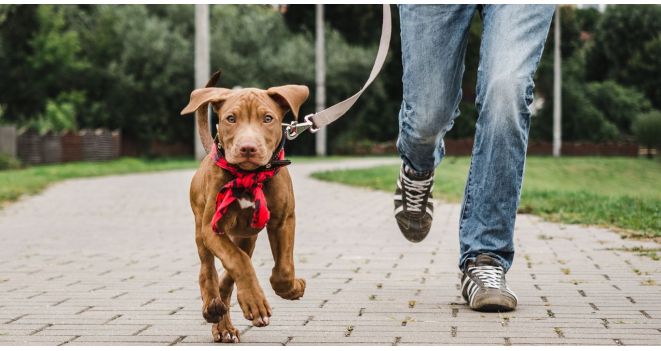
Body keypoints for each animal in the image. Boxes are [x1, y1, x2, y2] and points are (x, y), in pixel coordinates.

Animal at [180, 73, 310, 346]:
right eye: (231, 118)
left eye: (268, 118)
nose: (248, 148)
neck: (249, 176)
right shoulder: (212, 228)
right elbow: (237, 262)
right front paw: (255, 302)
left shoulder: (283, 220)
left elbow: (282, 269)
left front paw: (292, 288)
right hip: (200, 229)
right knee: (208, 271)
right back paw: (212, 307)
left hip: (246, 237)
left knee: (228, 277)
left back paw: (223, 323)